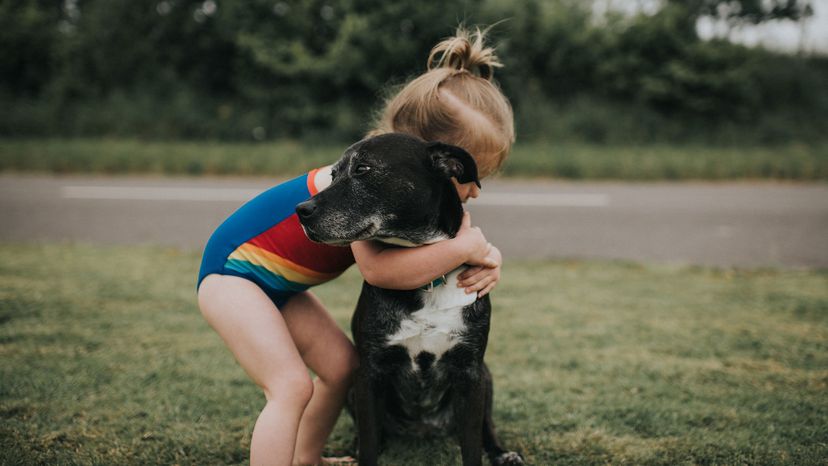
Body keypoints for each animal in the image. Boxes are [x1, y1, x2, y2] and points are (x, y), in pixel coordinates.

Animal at [294, 132, 520, 466]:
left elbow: (472, 444)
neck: (428, 278)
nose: (301, 210)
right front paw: (363, 451)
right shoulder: (368, 374)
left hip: (486, 378)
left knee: (487, 428)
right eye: (333, 175)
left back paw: (502, 453)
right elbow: (369, 443)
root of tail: (424, 430)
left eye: (362, 169)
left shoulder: (471, 374)